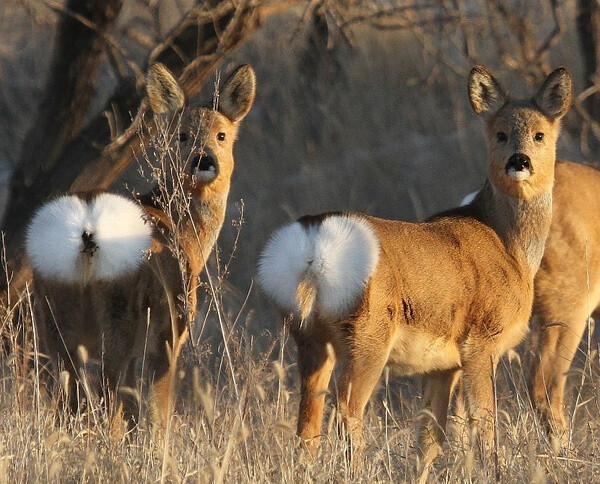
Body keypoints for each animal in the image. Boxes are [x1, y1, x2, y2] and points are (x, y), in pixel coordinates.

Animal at [26, 62, 255, 430]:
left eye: (222, 135)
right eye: (181, 135)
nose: (203, 160)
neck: (184, 232)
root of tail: (86, 230)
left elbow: (133, 407)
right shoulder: (170, 330)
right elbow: (157, 408)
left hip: (53, 312)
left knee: (70, 394)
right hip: (119, 309)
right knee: (106, 390)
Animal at [256, 66, 572, 478]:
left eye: (540, 134)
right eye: (500, 133)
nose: (519, 161)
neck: (509, 247)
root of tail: (313, 242)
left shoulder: (442, 365)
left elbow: (429, 440)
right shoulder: (481, 339)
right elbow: (483, 422)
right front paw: (494, 470)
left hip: (309, 335)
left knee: (307, 422)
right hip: (368, 334)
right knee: (347, 413)